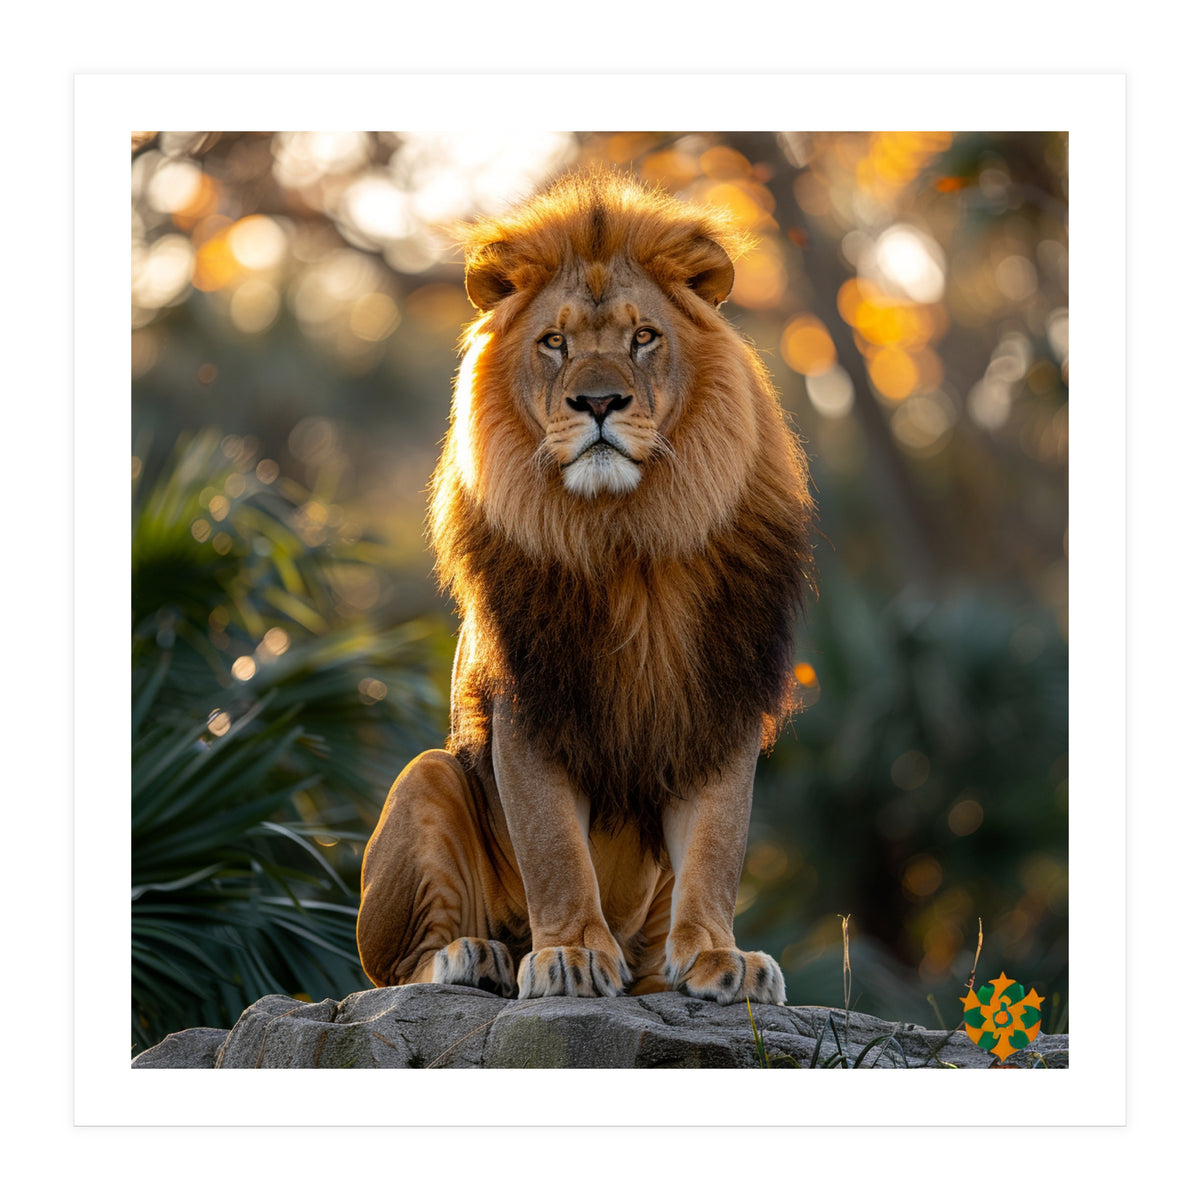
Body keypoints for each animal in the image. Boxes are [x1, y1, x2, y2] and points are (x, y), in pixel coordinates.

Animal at [356, 170, 815, 1005]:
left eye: (643, 337)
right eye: (555, 342)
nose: (598, 403)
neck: (626, 537)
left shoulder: (719, 701)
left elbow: (716, 846)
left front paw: (719, 958)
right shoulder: (529, 703)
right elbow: (555, 850)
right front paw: (568, 953)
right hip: (427, 777)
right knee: (394, 970)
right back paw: (477, 956)